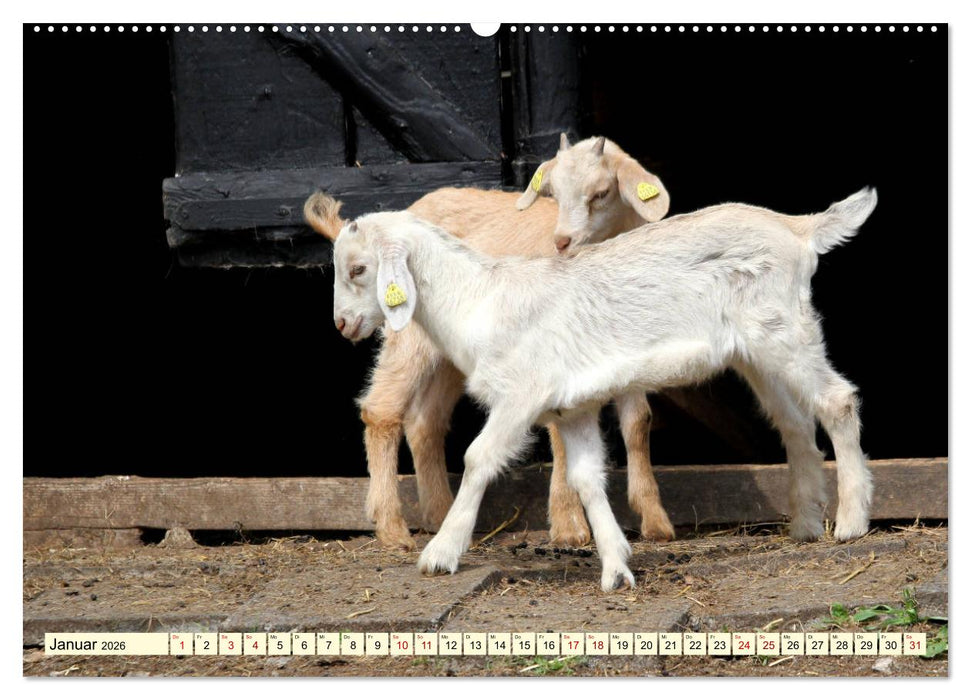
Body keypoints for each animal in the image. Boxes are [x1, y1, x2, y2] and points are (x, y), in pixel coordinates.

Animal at [305, 135, 674, 551]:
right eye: (553, 194)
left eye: (601, 192)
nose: (563, 243)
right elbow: (561, 432)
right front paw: (568, 525)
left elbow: (638, 421)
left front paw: (655, 519)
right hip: (409, 334)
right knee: (381, 410)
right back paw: (392, 528)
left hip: (452, 349)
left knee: (426, 421)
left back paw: (440, 515)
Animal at [330, 188, 876, 591]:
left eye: (358, 269)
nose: (343, 324)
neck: (481, 301)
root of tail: (798, 229)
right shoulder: (572, 409)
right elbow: (587, 479)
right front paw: (616, 568)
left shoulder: (521, 395)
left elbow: (478, 457)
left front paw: (441, 553)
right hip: (756, 351)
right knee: (796, 422)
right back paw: (805, 523)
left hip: (784, 330)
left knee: (837, 400)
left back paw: (851, 521)